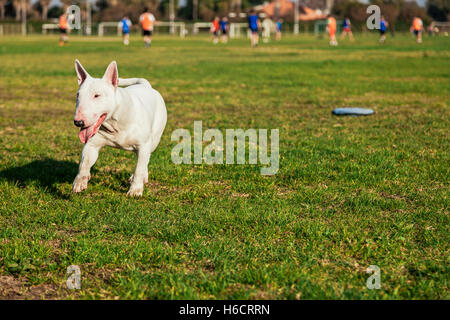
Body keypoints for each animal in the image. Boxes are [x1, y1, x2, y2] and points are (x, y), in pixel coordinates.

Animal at [72, 59, 167, 195]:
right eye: (78, 95)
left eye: (97, 95)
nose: (78, 122)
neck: (114, 124)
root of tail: (145, 85)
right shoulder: (92, 144)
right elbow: (84, 163)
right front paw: (80, 183)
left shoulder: (144, 145)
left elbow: (140, 168)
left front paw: (135, 191)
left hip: (154, 139)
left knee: (145, 160)